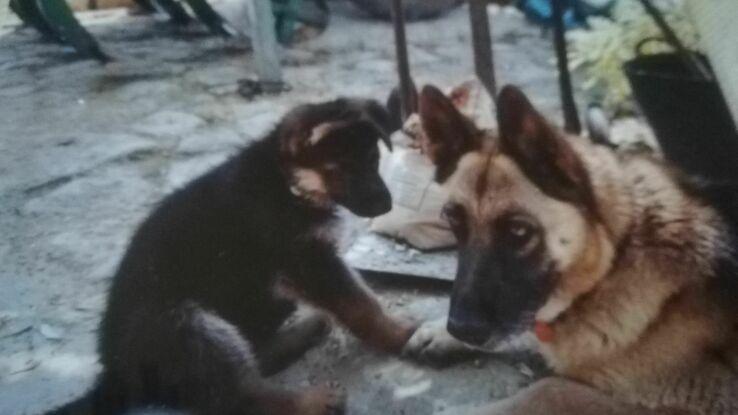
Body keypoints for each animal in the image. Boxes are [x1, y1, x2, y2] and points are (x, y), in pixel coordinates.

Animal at [49, 98, 416, 415]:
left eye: (373, 159)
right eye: (343, 168)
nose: (387, 206)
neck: (286, 182)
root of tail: (113, 374)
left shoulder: (313, 260)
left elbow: (358, 294)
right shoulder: (309, 261)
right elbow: (359, 304)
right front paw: (398, 334)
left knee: (252, 358)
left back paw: (303, 332)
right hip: (185, 324)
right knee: (237, 396)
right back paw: (310, 402)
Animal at [408, 83, 736, 414]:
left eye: (519, 231)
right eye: (453, 219)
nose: (460, 328)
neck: (617, 257)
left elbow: (549, 388)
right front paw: (439, 332)